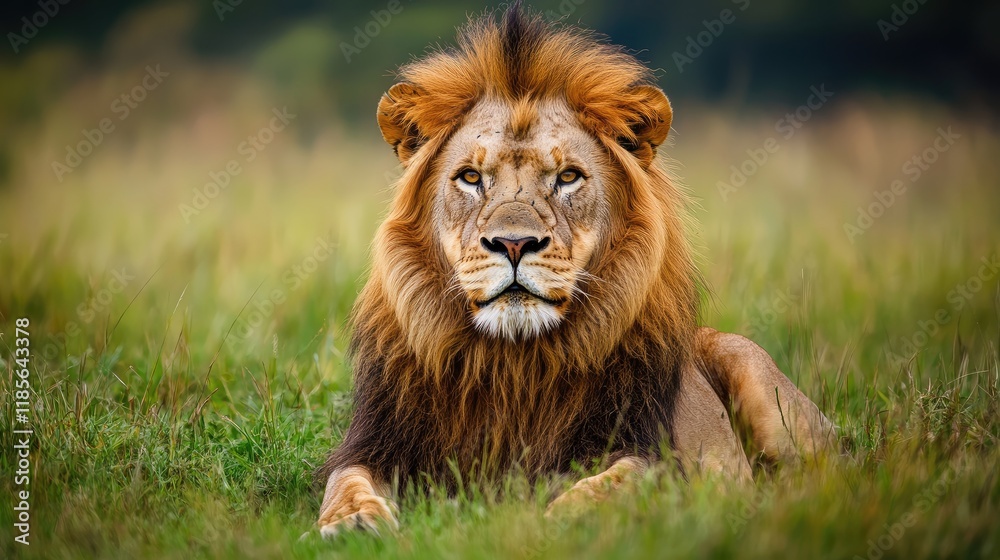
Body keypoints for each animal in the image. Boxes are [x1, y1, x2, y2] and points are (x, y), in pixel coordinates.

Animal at [316, 4, 835, 536]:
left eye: (568, 177)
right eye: (470, 177)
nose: (514, 243)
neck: (514, 364)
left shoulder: (653, 453)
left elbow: (620, 482)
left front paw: (561, 517)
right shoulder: (377, 444)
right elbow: (346, 479)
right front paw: (354, 520)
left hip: (758, 380)